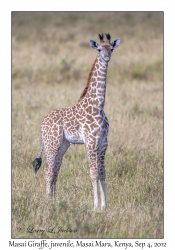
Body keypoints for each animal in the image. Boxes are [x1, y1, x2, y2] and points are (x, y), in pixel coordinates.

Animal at [32, 32, 120, 209]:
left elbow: (102, 173)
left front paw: (105, 205)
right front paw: (96, 206)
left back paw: (54, 200)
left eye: (111, 48)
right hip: (52, 144)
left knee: (55, 171)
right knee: (48, 169)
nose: (107, 57)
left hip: (62, 145)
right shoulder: (91, 141)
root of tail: (42, 123)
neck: (98, 105)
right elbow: (93, 173)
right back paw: (48, 201)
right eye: (99, 49)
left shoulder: (103, 142)